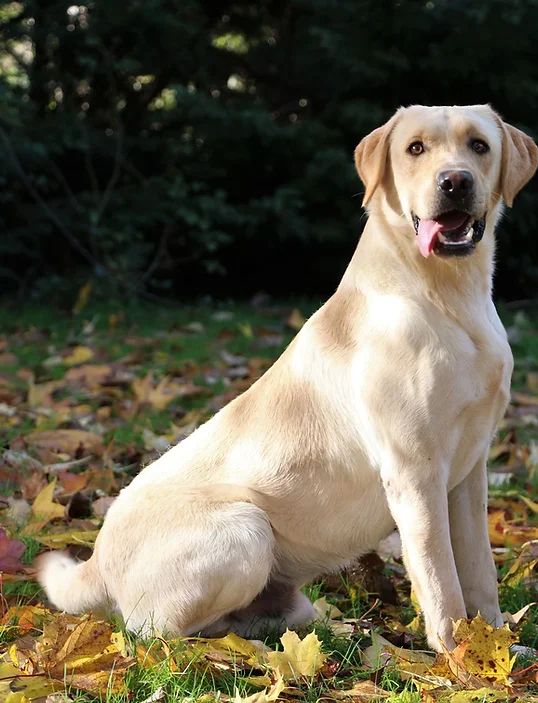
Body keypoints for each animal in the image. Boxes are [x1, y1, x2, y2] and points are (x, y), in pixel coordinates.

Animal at [35, 106, 532, 656]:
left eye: (479, 146)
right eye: (415, 149)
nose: (455, 181)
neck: (451, 297)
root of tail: (97, 559)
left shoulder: (469, 471)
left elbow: (480, 570)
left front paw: (496, 645)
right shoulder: (415, 472)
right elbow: (441, 578)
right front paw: (455, 657)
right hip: (245, 529)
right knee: (158, 635)